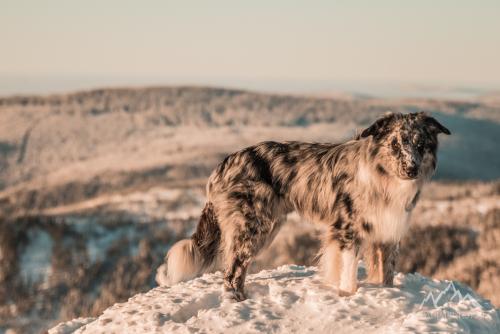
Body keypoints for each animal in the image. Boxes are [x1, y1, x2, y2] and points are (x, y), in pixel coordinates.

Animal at [159, 111, 450, 300]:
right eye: (395, 143)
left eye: (421, 144)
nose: (411, 169)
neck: (383, 178)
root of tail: (222, 165)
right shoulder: (346, 229)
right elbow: (348, 272)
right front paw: (348, 295)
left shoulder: (387, 233)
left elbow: (385, 273)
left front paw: (385, 294)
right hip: (252, 227)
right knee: (231, 271)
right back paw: (238, 301)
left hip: (268, 227)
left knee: (237, 269)